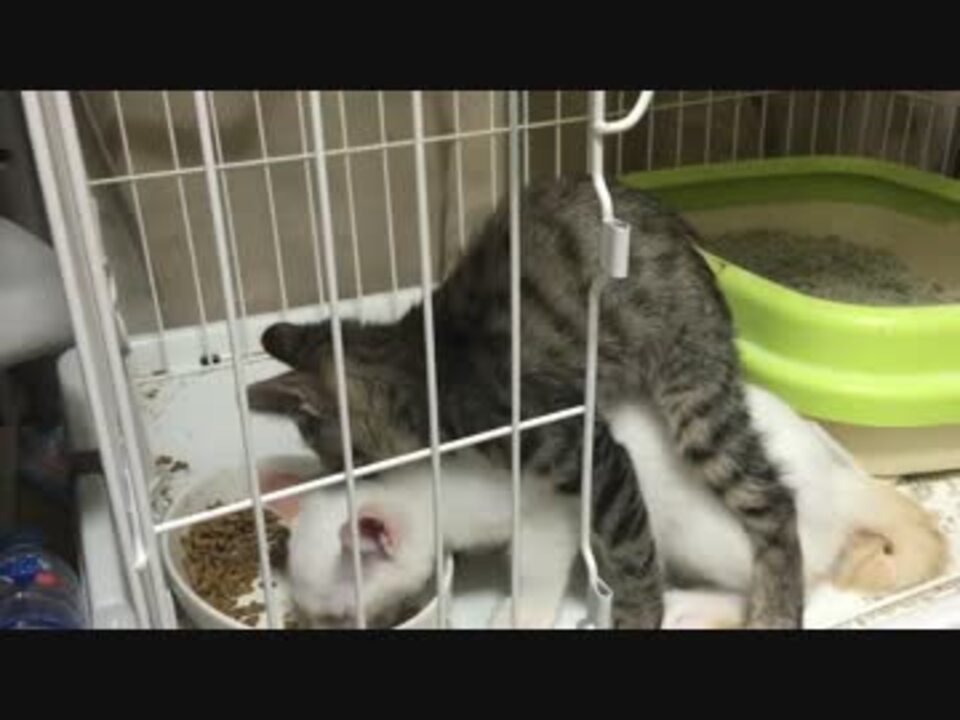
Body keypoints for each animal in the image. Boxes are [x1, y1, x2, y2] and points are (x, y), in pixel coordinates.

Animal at [247, 175, 803, 628]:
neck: (423, 367)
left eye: (345, 457)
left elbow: (623, 548)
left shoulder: (576, 445)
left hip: (693, 389)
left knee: (772, 501)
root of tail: (686, 238)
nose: (341, 477)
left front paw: (639, 613)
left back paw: (777, 607)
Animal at [264, 383, 947, 630]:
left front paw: (517, 616)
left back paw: (692, 605)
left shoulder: (547, 515)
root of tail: (837, 485)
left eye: (343, 619)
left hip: (703, 532)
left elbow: (536, 572)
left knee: (772, 588)